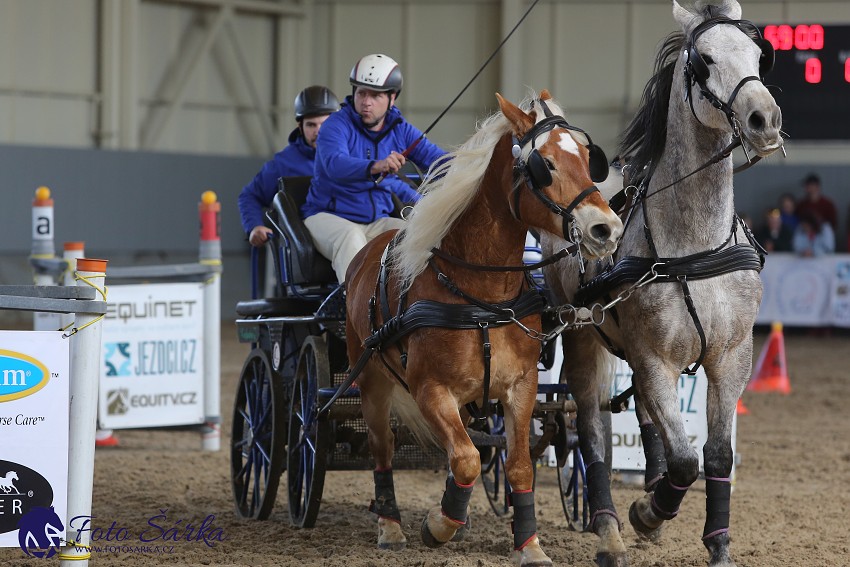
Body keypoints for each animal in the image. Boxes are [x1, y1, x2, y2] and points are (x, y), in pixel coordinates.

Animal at [344, 91, 624, 564]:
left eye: (590, 159)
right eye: (545, 164)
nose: (606, 228)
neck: (483, 297)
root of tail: (370, 248)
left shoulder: (521, 387)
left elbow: (517, 465)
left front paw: (528, 545)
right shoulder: (430, 390)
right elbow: (468, 459)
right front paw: (438, 526)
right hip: (372, 384)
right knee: (383, 449)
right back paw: (391, 526)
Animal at [540, 1, 780, 567]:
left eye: (759, 54)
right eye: (704, 61)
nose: (765, 120)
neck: (695, 245)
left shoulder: (731, 356)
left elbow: (714, 455)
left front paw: (717, 543)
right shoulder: (655, 357)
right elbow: (685, 461)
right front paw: (647, 515)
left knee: (646, 417)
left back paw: (646, 482)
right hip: (584, 340)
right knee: (592, 432)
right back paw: (608, 529)